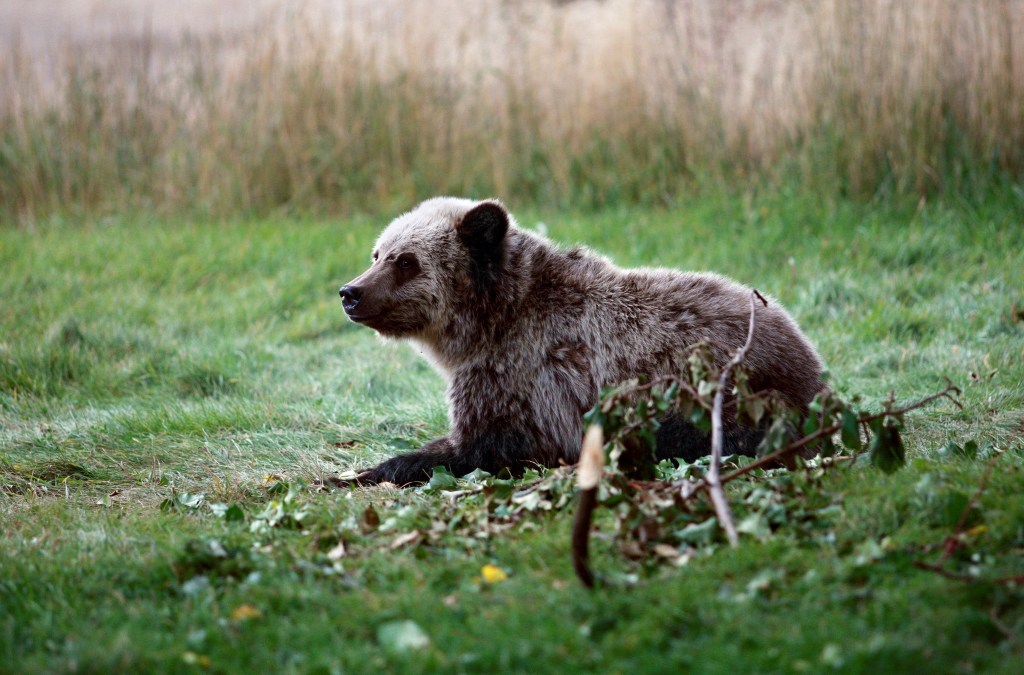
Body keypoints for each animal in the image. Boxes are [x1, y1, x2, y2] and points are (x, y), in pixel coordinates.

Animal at [337, 197, 826, 486]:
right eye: (377, 253)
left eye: (407, 261)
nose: (350, 292)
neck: (489, 323)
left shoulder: (524, 383)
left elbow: (480, 447)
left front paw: (370, 470)